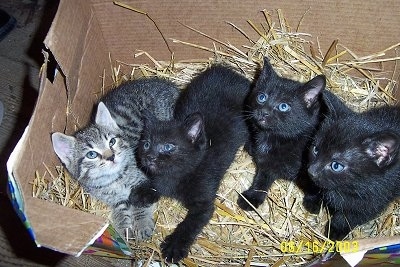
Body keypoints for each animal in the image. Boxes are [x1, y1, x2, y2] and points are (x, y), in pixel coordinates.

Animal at [51, 77, 178, 241]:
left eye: (112, 142)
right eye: (91, 154)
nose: (111, 156)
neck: (115, 179)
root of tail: (168, 85)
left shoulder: (144, 181)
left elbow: (140, 204)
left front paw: (142, 223)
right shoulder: (115, 199)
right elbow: (121, 209)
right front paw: (123, 227)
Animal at [132, 65, 250, 264]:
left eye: (168, 146)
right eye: (146, 144)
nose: (149, 157)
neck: (178, 174)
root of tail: (232, 72)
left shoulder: (204, 204)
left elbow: (189, 224)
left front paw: (174, 246)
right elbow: (155, 186)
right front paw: (142, 191)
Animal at [238, 58, 332, 211]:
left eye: (283, 106)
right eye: (262, 97)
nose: (263, 112)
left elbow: (316, 183)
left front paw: (314, 202)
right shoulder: (267, 164)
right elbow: (262, 179)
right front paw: (252, 197)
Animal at [310, 105, 400, 241]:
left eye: (336, 166)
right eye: (315, 149)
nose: (311, 171)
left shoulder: (375, 201)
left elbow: (349, 217)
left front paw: (335, 231)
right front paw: (312, 200)